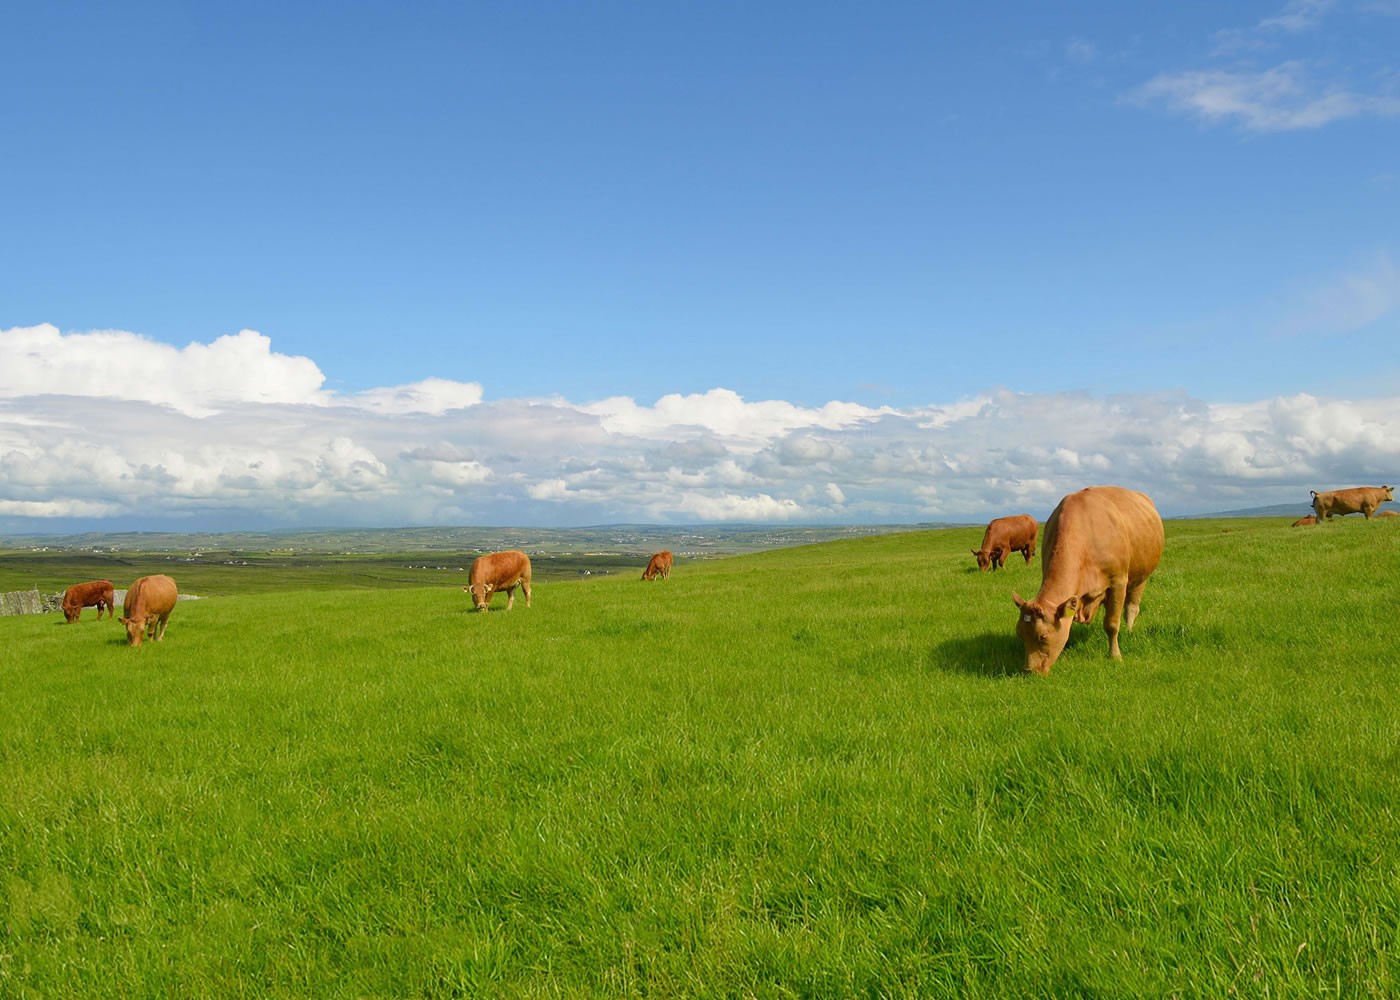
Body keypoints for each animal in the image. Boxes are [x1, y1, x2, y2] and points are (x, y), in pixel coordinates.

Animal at [1013, 484, 1164, 675]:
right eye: (1020, 633)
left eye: (1043, 636)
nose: (1029, 670)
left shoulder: (1118, 582)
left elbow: (1111, 624)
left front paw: (1115, 655)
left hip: (1141, 577)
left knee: (1131, 607)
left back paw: (1129, 631)